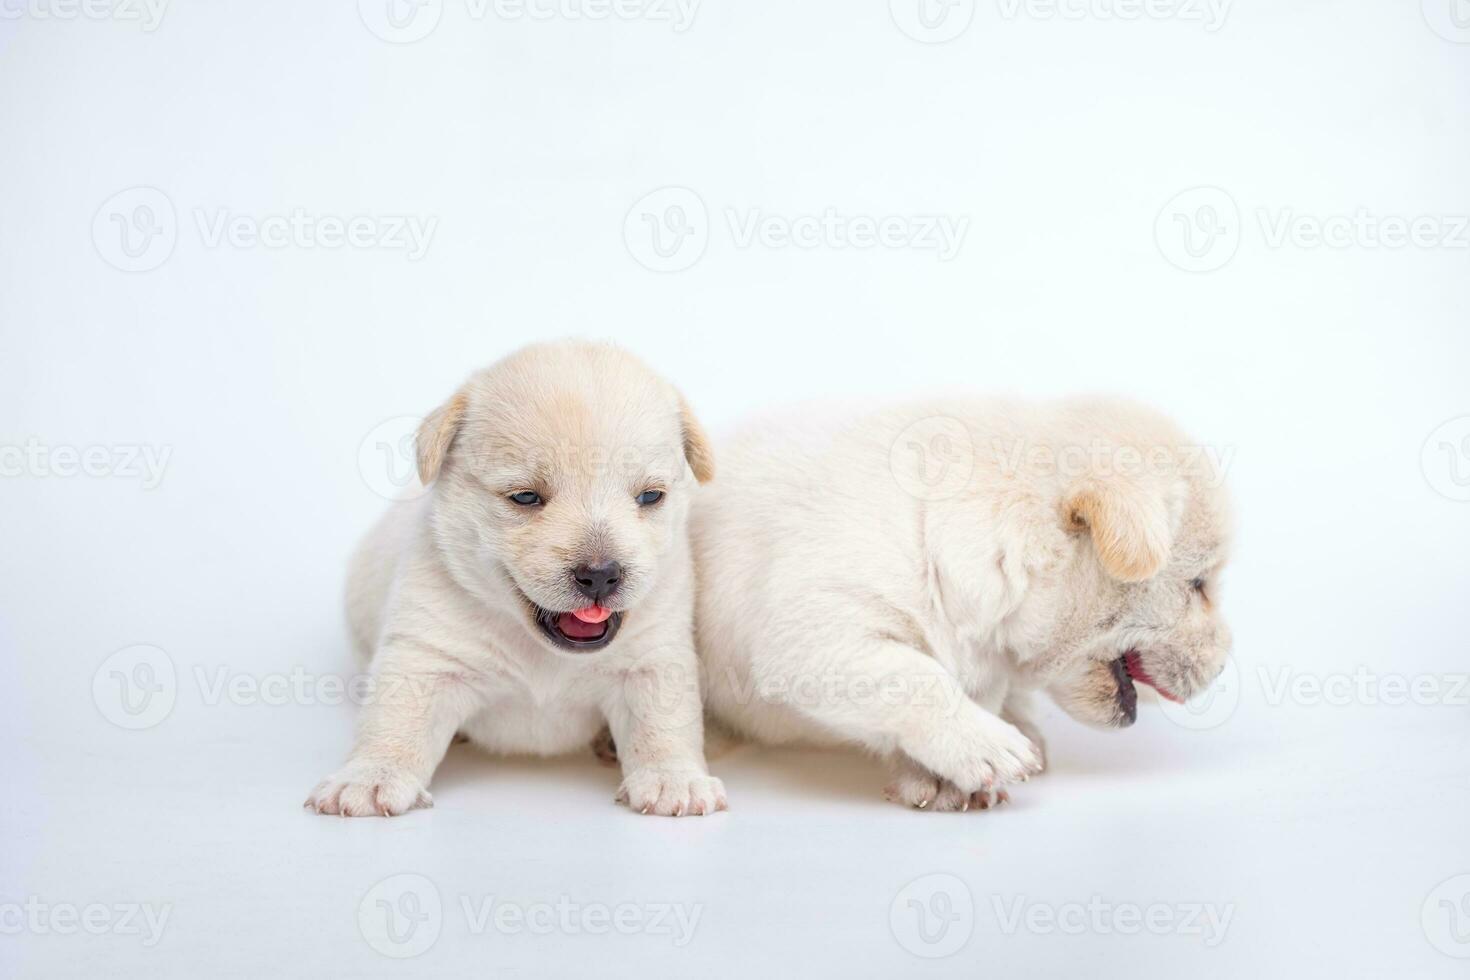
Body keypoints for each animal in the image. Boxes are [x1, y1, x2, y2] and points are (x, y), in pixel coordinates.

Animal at [305, 340, 729, 816]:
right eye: (525, 497)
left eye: (651, 496)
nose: (601, 576)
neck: (542, 653)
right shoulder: (424, 654)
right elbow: (395, 721)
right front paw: (369, 777)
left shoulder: (653, 657)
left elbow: (664, 724)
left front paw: (675, 779)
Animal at [687, 399, 1228, 811]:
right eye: (1199, 584)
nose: (1224, 667)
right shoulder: (812, 630)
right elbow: (917, 677)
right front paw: (981, 748)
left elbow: (965, 690)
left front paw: (950, 771)